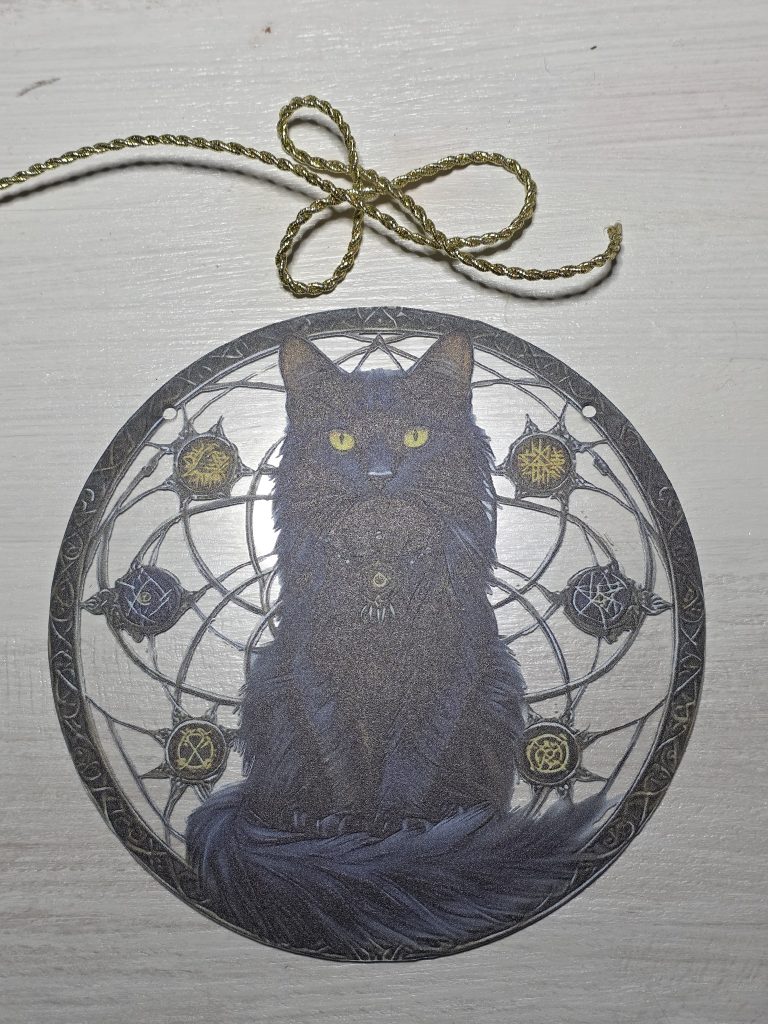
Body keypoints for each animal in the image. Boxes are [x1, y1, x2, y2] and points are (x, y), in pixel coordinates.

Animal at [186, 332, 609, 959]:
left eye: (415, 437)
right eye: (342, 439)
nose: (381, 474)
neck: (380, 568)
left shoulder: (444, 671)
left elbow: (410, 761)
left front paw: (402, 828)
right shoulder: (319, 674)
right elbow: (344, 760)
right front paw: (348, 827)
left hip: (494, 687)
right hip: (271, 685)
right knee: (277, 798)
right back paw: (305, 821)